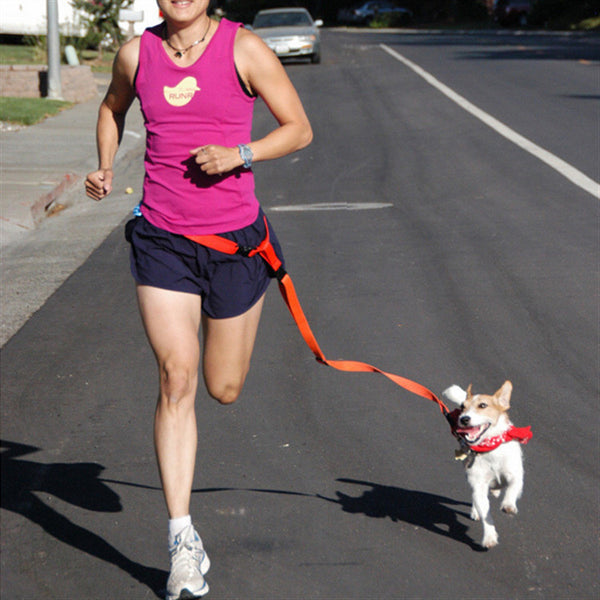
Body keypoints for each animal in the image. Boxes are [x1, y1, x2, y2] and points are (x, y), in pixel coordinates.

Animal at [440, 382, 536, 552]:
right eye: (462, 407)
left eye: (483, 405)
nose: (464, 419)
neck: (489, 448)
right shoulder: (478, 486)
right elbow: (486, 514)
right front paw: (489, 537)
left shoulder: (515, 476)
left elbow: (512, 489)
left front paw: (508, 504)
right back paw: (476, 510)